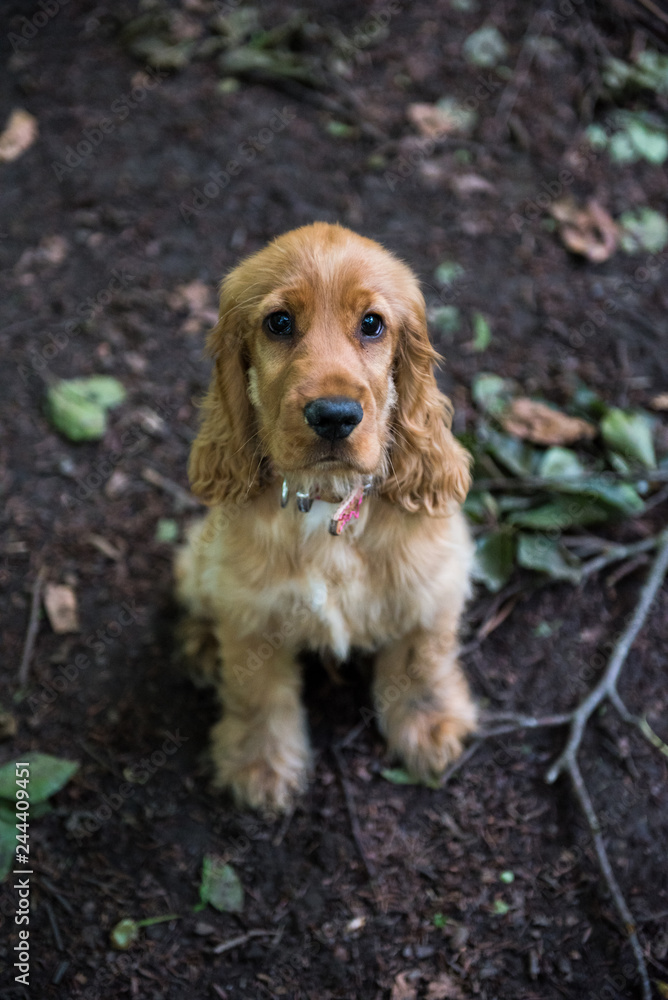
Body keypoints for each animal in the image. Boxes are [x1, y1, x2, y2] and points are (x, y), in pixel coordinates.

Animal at [174, 221, 474, 812]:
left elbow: (423, 656)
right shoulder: (250, 608)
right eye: (279, 322)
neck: (329, 502)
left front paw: (430, 729)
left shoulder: (435, 578)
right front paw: (261, 767)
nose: (335, 415)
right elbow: (256, 691)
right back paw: (200, 645)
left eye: (372, 324)